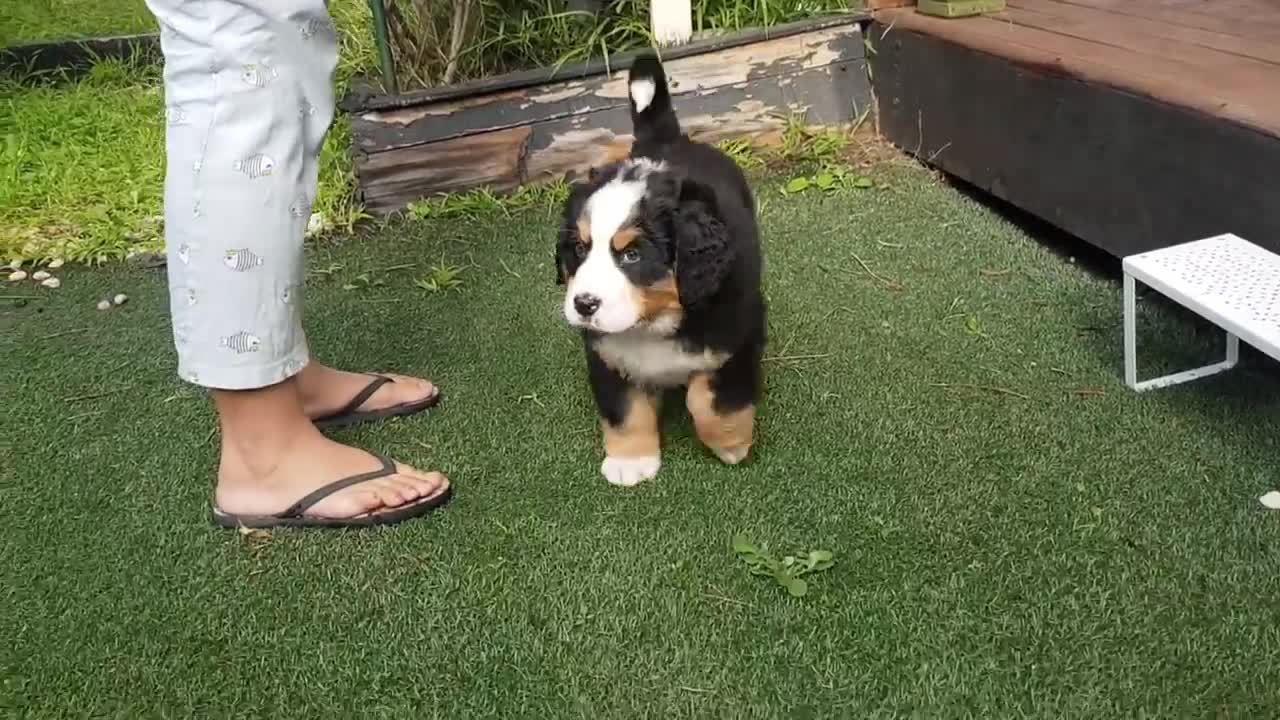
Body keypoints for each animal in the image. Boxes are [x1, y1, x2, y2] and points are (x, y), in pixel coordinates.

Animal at [552, 51, 768, 486]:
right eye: (580, 248)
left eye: (633, 255)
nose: (584, 304)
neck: (654, 320)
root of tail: (668, 141)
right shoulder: (606, 353)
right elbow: (625, 408)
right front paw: (631, 460)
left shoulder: (734, 338)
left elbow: (711, 400)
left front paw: (730, 443)